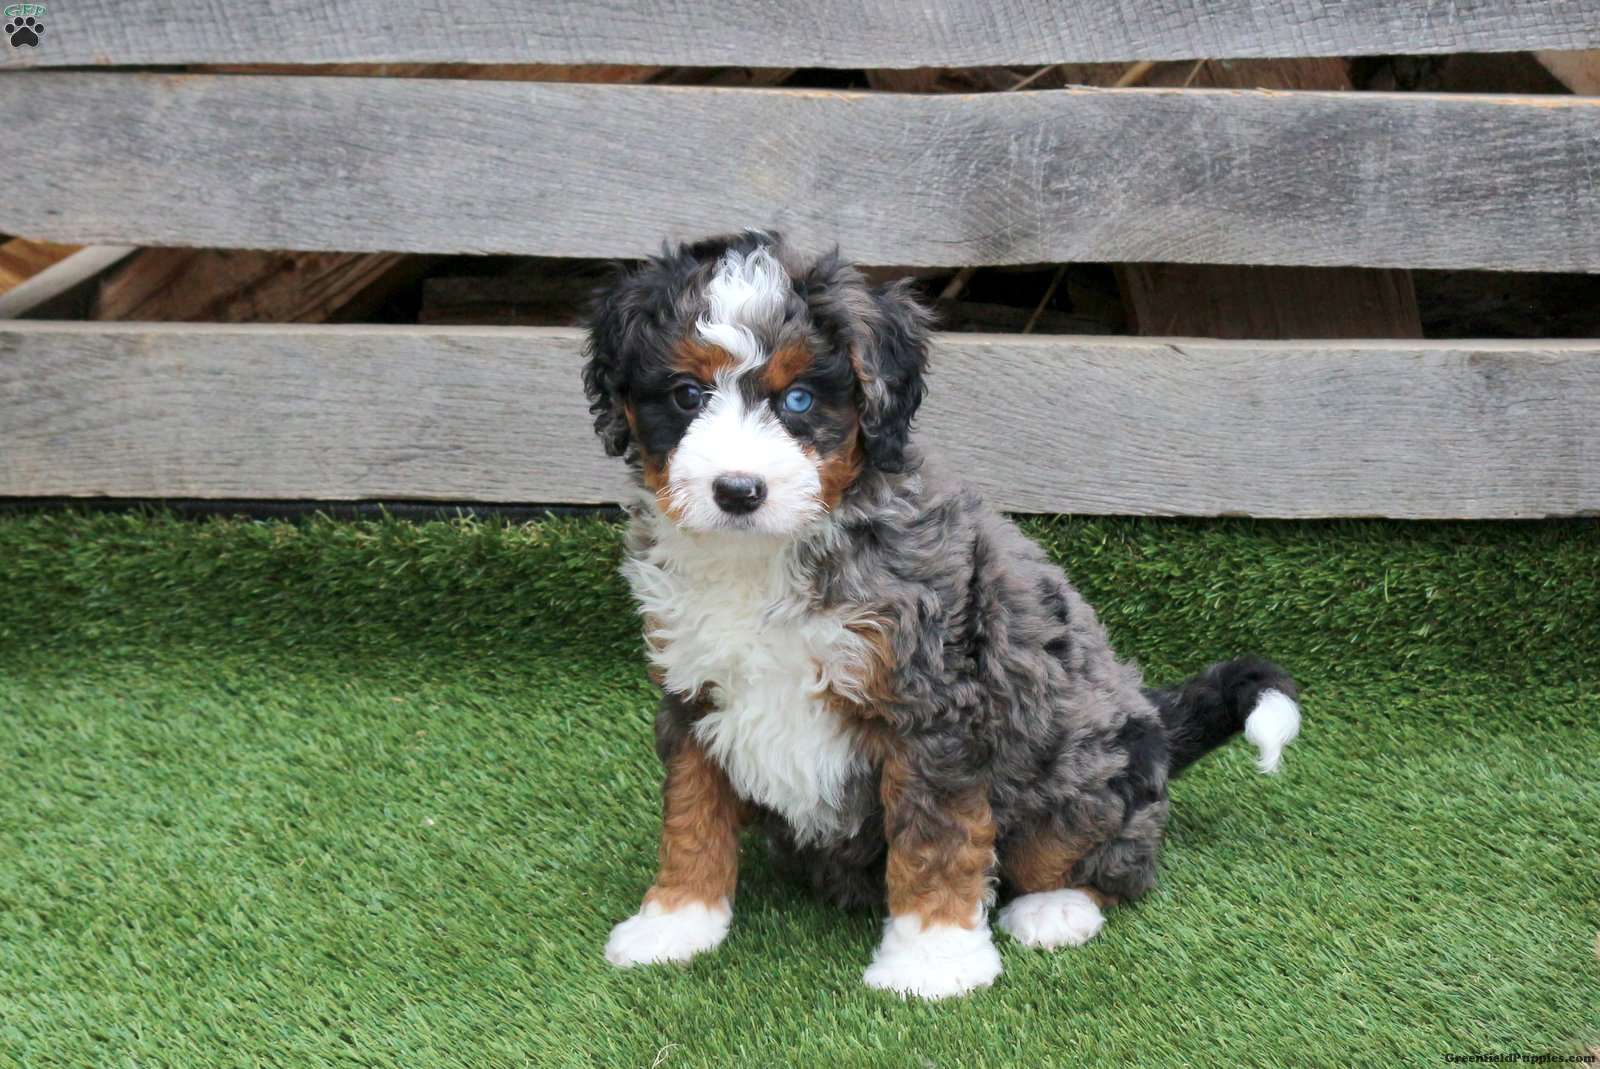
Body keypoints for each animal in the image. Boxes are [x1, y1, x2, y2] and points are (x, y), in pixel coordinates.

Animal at [581, 231, 1301, 999]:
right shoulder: (693, 691)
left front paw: (932, 958)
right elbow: (692, 813)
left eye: (799, 399)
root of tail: (1150, 715)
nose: (738, 490)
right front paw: (677, 919)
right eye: (687, 395)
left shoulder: (932, 708)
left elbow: (937, 838)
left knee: (1111, 852)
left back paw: (1057, 907)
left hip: (1081, 762)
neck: (764, 557)